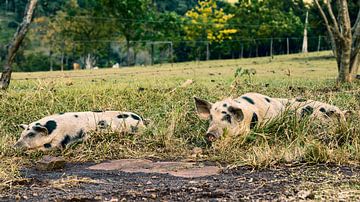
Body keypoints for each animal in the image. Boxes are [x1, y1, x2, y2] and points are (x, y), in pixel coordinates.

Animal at [13, 111, 147, 151]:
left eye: (31, 134)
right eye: (22, 134)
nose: (14, 146)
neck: (53, 129)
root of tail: (141, 120)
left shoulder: (60, 140)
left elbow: (51, 147)